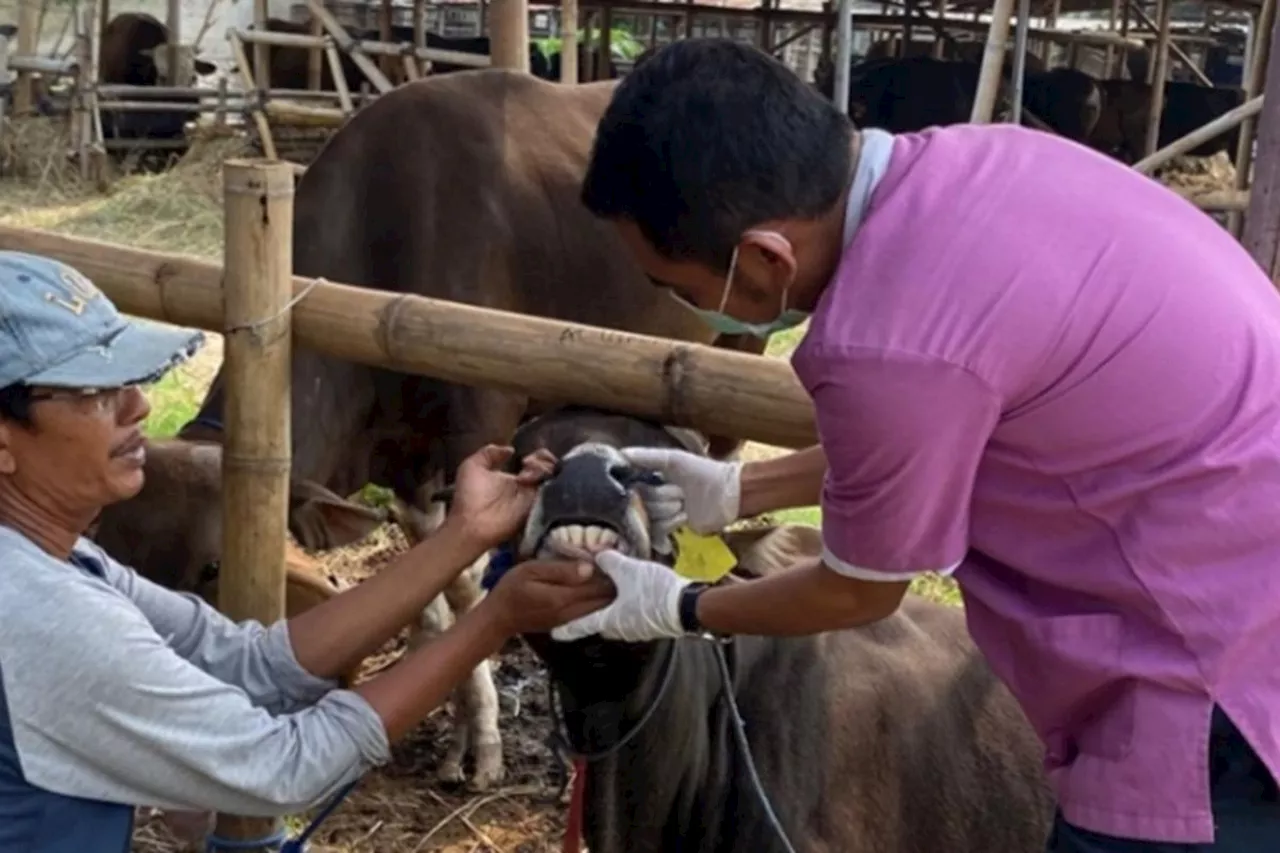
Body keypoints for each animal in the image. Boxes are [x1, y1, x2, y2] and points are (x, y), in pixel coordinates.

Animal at [157, 68, 768, 788]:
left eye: (212, 566)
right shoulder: (404, 467)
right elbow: (427, 577)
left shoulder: (479, 427)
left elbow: (466, 584)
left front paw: (482, 745)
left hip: (740, 350)